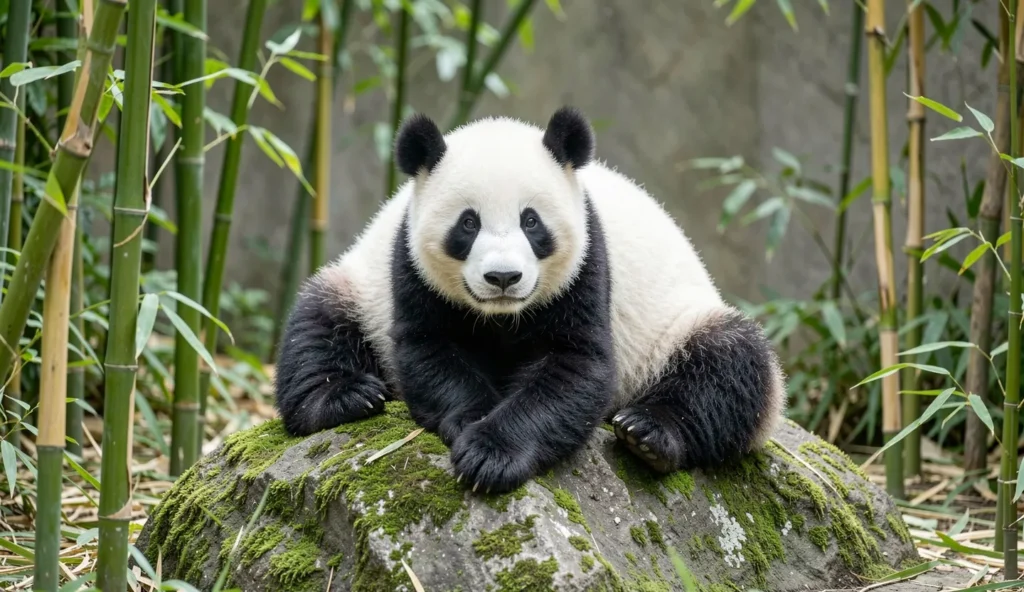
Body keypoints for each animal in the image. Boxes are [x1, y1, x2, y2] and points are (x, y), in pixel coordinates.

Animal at [274, 106, 786, 494]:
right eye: (468, 223)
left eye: (531, 221)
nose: (503, 277)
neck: (502, 317)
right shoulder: (409, 268)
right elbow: (430, 350)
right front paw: (473, 419)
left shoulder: (587, 266)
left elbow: (574, 366)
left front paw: (490, 454)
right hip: (361, 286)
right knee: (318, 325)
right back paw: (344, 396)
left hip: (679, 320)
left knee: (731, 365)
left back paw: (648, 433)